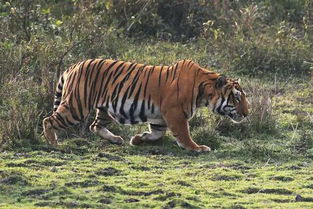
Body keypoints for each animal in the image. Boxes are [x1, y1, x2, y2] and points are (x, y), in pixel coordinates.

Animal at [42, 58, 249, 152]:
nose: (247, 113)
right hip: (76, 105)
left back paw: (116, 139)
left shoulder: (160, 117)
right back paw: (54, 143)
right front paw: (197, 148)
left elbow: (157, 133)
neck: (204, 91)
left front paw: (138, 139)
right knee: (48, 120)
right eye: (237, 97)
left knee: (95, 126)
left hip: (104, 109)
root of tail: (74, 65)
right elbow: (184, 134)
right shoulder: (175, 113)